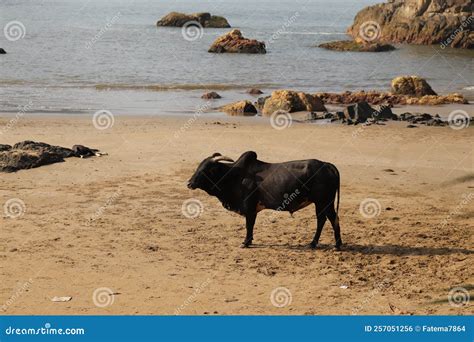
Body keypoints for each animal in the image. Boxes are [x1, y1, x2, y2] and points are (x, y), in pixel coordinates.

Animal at [187, 151, 342, 250]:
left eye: (205, 170)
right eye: (198, 167)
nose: (189, 183)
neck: (233, 177)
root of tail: (327, 165)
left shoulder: (249, 208)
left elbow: (249, 226)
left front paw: (245, 242)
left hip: (324, 202)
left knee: (331, 219)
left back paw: (336, 245)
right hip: (321, 203)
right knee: (323, 219)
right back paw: (314, 243)